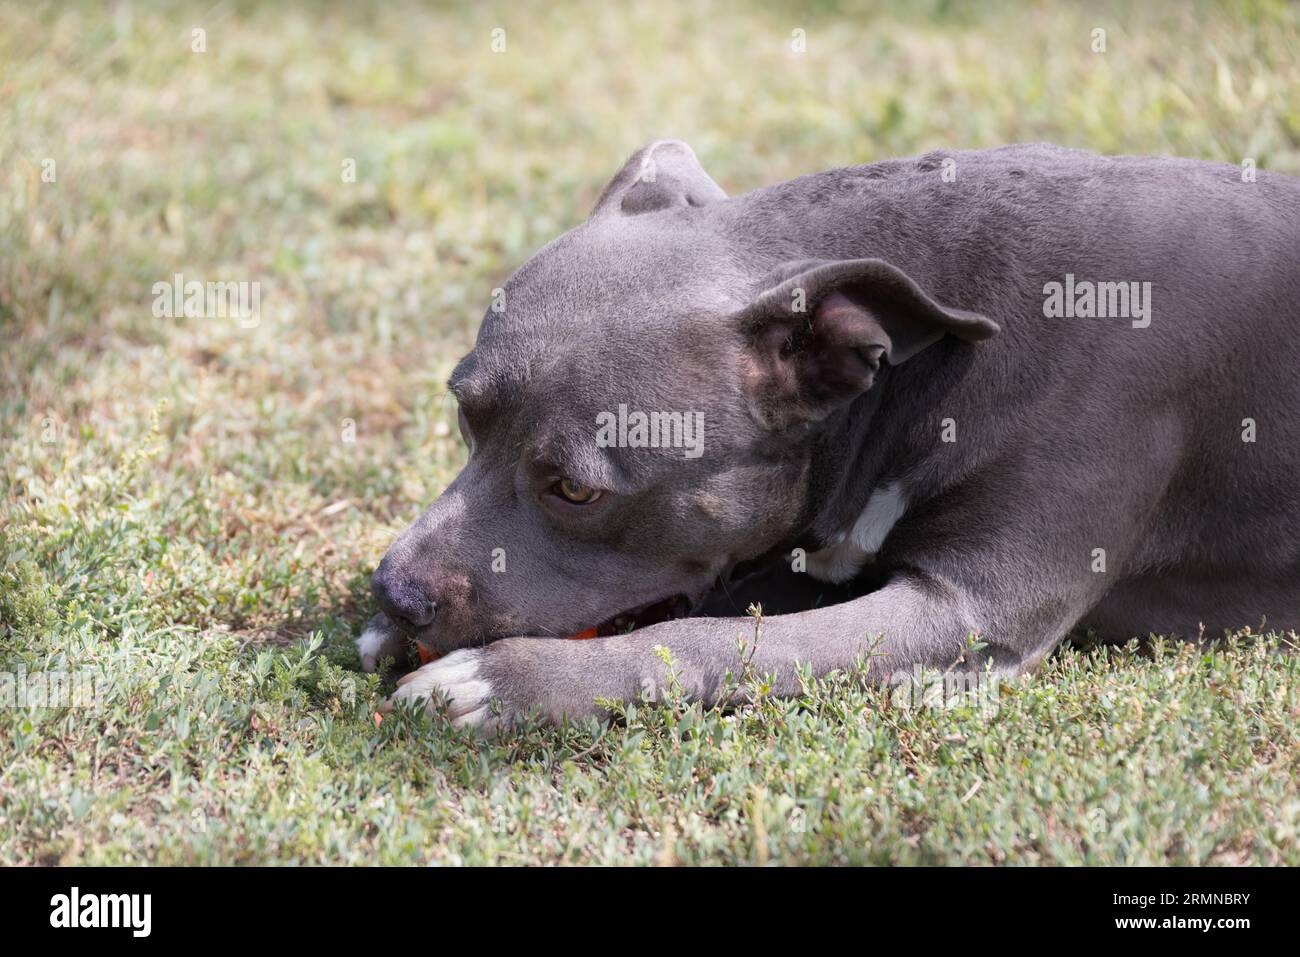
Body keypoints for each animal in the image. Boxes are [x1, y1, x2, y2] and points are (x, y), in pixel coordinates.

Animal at [358, 138, 1300, 728]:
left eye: (575, 489)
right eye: (463, 414)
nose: (394, 591)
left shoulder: (968, 608)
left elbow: (712, 640)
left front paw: (509, 679)